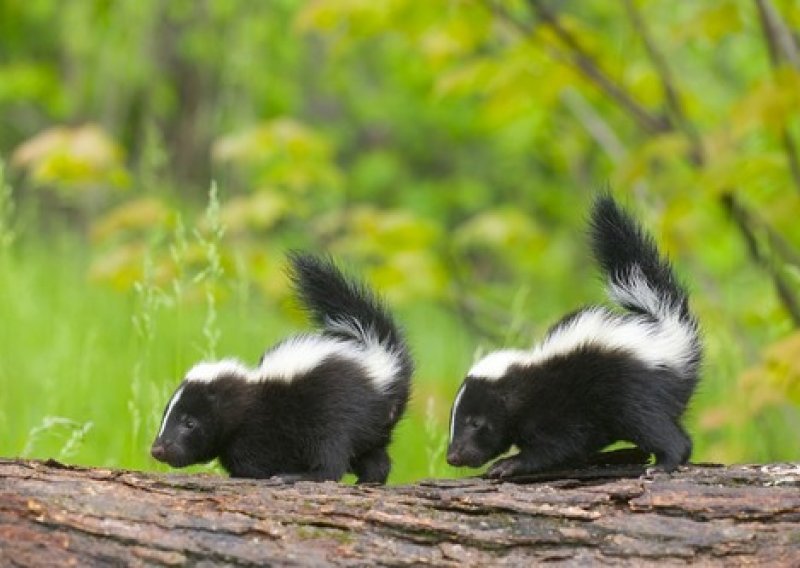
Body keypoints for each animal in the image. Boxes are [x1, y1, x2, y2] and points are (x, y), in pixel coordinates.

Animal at [150, 253, 412, 484]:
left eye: (190, 423)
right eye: (165, 416)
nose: (158, 449)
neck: (248, 398)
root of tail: (381, 363)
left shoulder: (260, 430)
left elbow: (254, 461)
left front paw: (252, 474)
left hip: (337, 412)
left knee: (330, 457)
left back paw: (298, 477)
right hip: (372, 428)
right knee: (375, 457)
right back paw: (368, 481)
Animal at [446, 193, 704, 478]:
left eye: (475, 423)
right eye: (454, 419)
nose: (453, 456)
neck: (528, 383)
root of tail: (669, 333)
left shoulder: (559, 412)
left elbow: (558, 445)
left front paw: (507, 465)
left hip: (634, 394)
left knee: (660, 430)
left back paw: (663, 464)